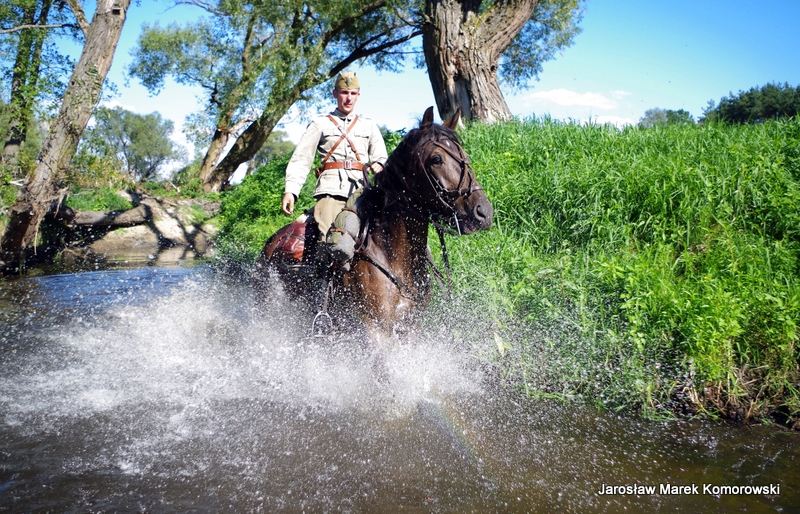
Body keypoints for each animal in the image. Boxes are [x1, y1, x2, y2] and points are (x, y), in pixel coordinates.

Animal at [253, 107, 493, 347]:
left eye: (464, 154)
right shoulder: (375, 331)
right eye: (436, 159)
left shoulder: (409, 328)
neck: (389, 252)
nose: (484, 212)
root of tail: (272, 242)